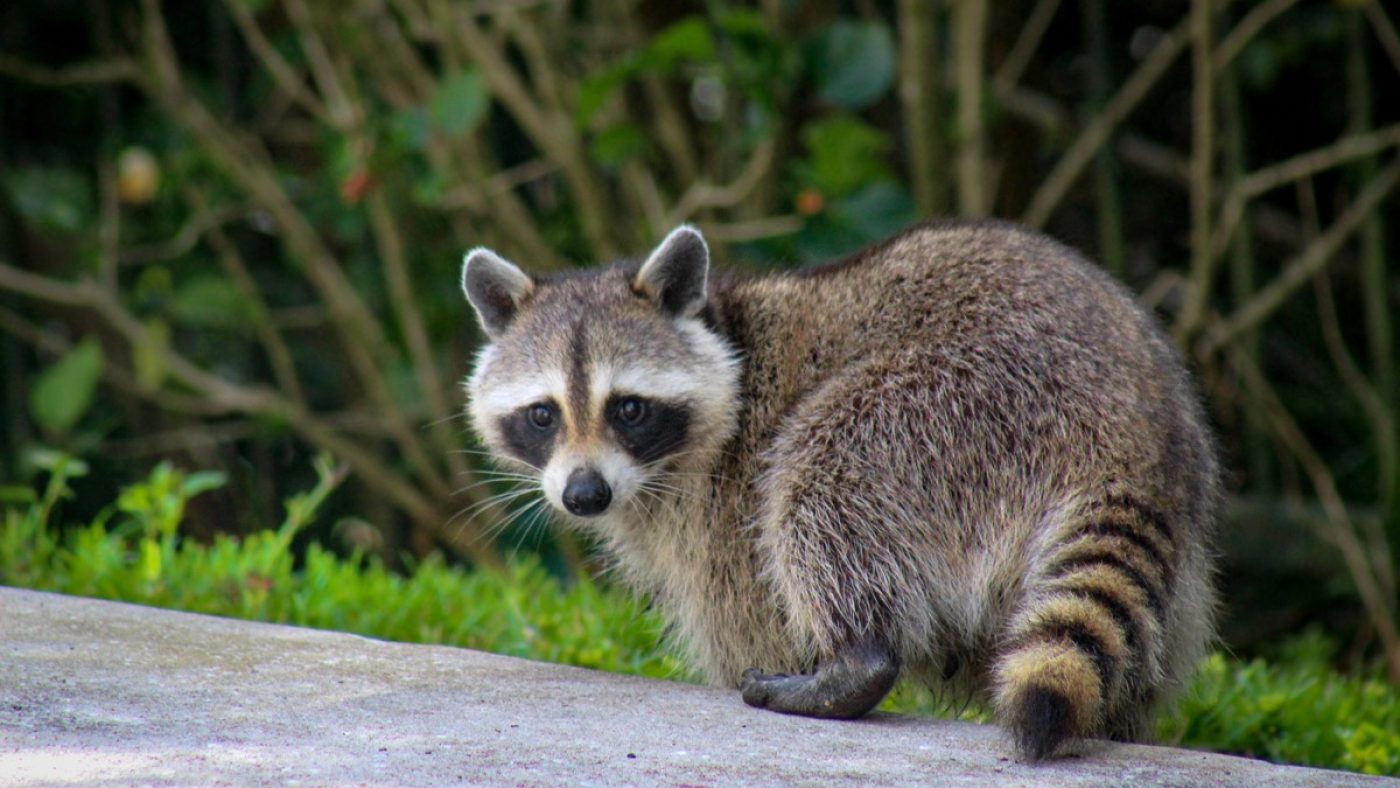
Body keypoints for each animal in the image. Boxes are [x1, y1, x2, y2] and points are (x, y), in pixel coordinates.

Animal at [460, 220, 1219, 760]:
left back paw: (855, 661)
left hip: (955, 404)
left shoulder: (725, 512)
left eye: (628, 409)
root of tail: (1130, 428)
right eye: (543, 415)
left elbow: (753, 617)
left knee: (822, 469)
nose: (584, 494)